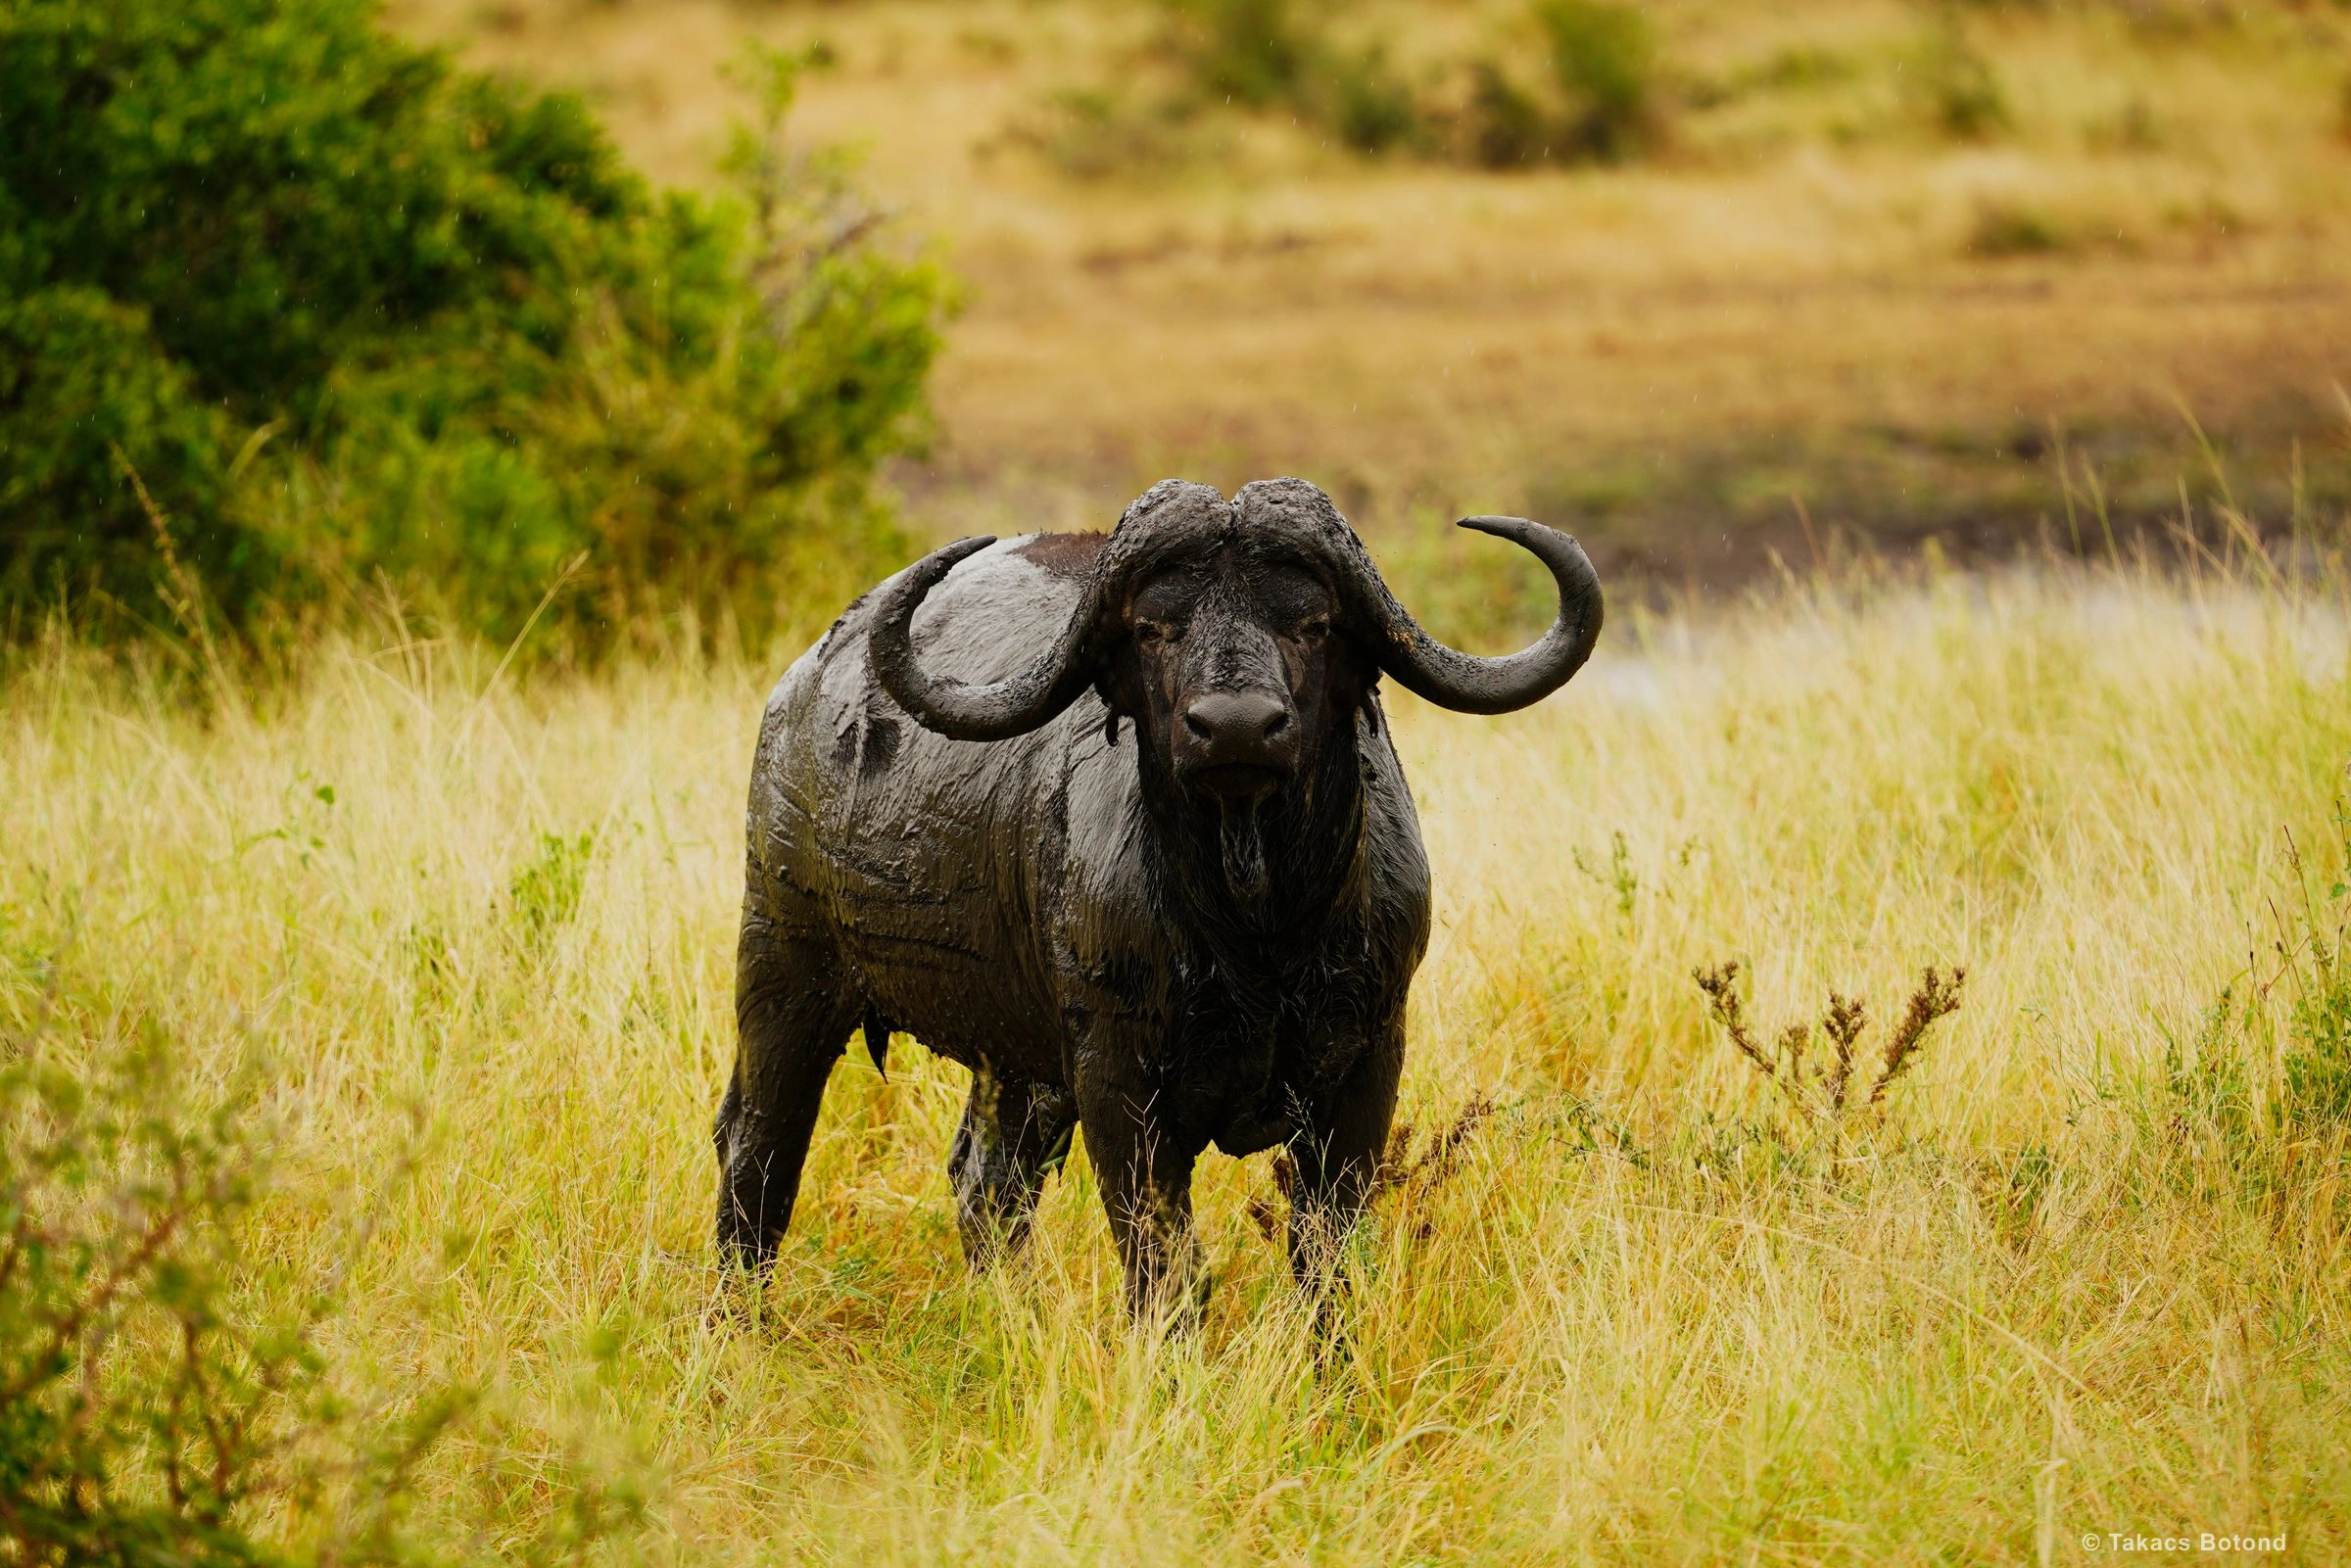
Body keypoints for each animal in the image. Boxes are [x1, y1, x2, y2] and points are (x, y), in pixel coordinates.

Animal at [714, 477, 1602, 1314]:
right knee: (758, 1150)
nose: (1236, 726)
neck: (1255, 931)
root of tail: (805, 683)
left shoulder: (1367, 1064)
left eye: (1312, 622)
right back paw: (736, 1320)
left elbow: (1326, 1253)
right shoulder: (1117, 1076)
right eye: (1152, 627)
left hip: (1015, 1060)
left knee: (985, 1179)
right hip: (784, 970)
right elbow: (1165, 1263)